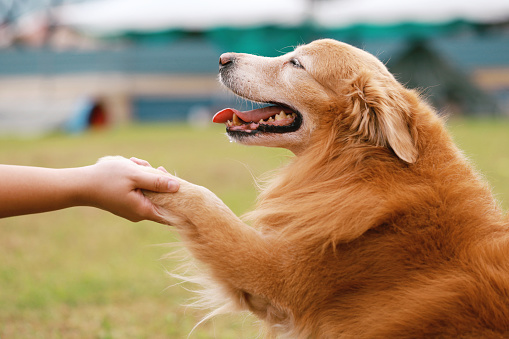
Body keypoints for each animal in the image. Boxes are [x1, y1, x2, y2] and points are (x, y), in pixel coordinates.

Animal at [138, 39, 508, 338]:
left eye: (296, 64)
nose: (222, 58)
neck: (357, 166)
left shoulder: (275, 274)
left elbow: (204, 201)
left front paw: (147, 178)